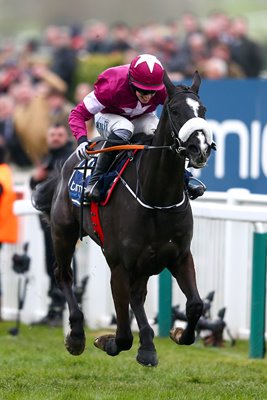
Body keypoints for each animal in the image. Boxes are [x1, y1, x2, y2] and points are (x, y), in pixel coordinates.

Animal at [34, 71, 218, 366]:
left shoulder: (179, 256)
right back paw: (76, 335)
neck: (157, 198)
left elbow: (195, 305)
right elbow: (123, 335)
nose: (199, 148)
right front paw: (115, 342)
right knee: (63, 275)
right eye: (175, 110)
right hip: (63, 233)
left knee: (137, 296)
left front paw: (178, 334)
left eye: (203, 110)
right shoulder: (119, 264)